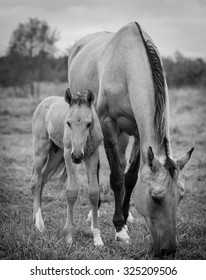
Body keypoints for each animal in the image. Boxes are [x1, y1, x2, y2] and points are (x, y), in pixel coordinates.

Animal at [29, 88, 104, 246]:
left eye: (89, 124)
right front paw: (69, 237)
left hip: (55, 153)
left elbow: (94, 192)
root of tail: (44, 102)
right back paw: (39, 224)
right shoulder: (68, 153)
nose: (77, 157)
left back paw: (35, 218)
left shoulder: (93, 155)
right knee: (35, 180)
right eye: (68, 123)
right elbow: (71, 192)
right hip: (41, 149)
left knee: (43, 178)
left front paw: (97, 238)